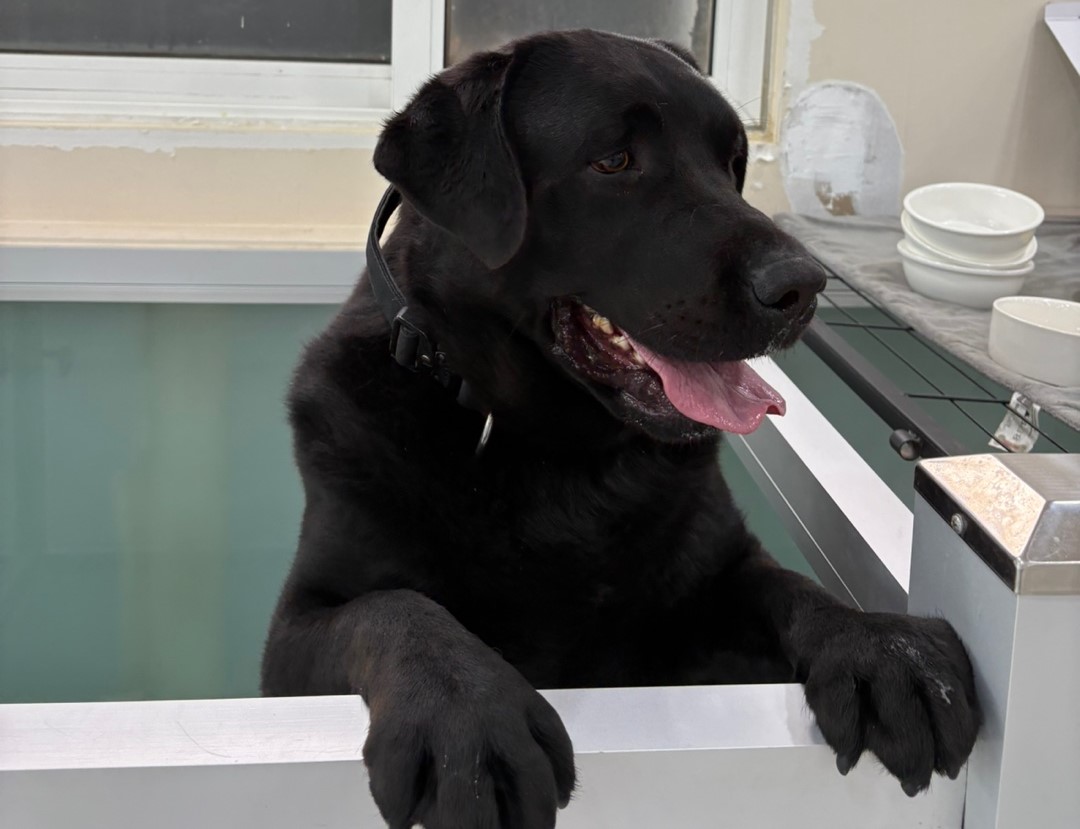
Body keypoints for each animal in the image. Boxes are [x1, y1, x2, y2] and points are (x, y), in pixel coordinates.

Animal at [262, 30, 979, 829]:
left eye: (732, 162)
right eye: (613, 161)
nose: (802, 286)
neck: (551, 454)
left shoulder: (716, 582)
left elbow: (789, 584)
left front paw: (882, 646)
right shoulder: (295, 633)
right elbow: (394, 609)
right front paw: (465, 717)